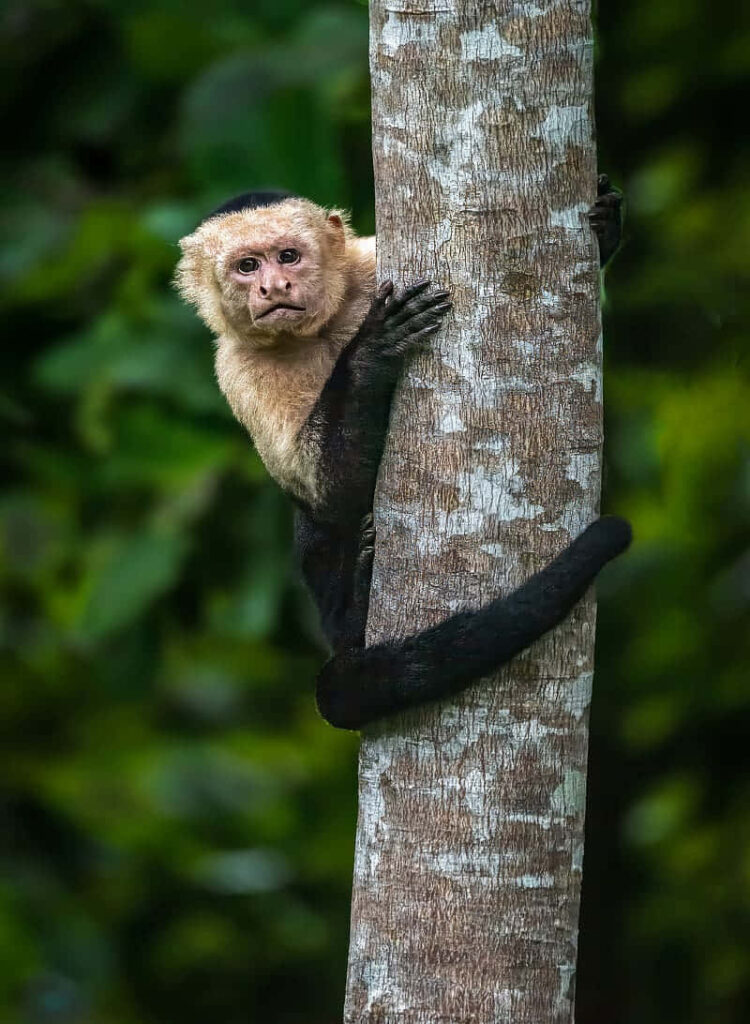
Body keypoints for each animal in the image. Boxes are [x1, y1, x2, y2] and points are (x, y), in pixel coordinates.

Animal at [175, 178, 630, 730]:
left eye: (287, 257)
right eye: (247, 266)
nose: (274, 287)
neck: (323, 327)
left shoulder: (370, 265)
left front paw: (606, 227)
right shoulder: (238, 367)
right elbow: (327, 494)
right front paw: (370, 354)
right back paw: (353, 606)